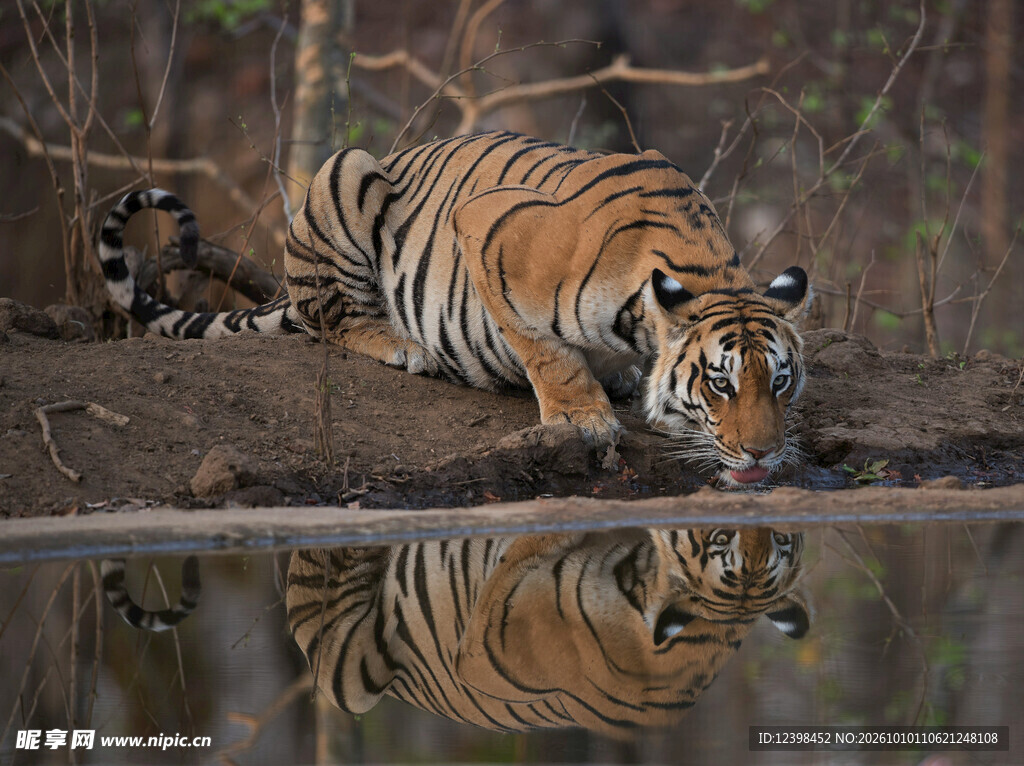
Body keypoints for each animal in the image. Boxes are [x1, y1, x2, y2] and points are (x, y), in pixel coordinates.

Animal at [99, 131, 811, 485]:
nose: (764, 455)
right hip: (345, 173)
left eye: (780, 382)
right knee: (332, 318)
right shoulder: (489, 229)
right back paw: (402, 346)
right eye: (720, 384)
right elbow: (546, 351)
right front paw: (583, 418)